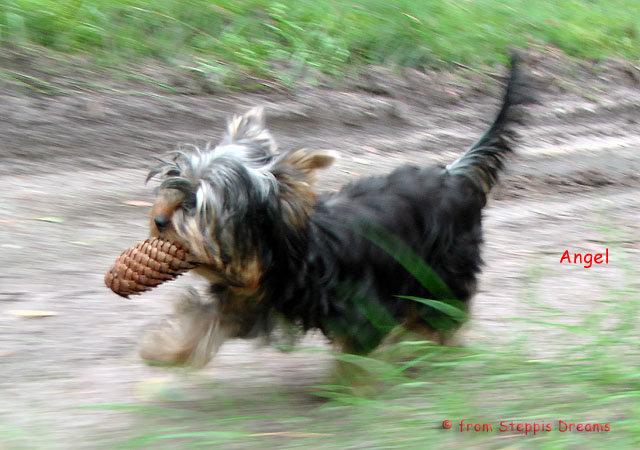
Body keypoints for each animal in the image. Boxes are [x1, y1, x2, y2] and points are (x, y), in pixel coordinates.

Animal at [139, 53, 530, 368]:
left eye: (196, 204)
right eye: (176, 182)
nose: (159, 219)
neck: (291, 254)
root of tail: (452, 175)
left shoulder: (361, 307)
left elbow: (360, 349)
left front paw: (354, 386)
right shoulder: (248, 300)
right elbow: (205, 321)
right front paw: (165, 351)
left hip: (442, 267)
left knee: (441, 311)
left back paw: (435, 346)